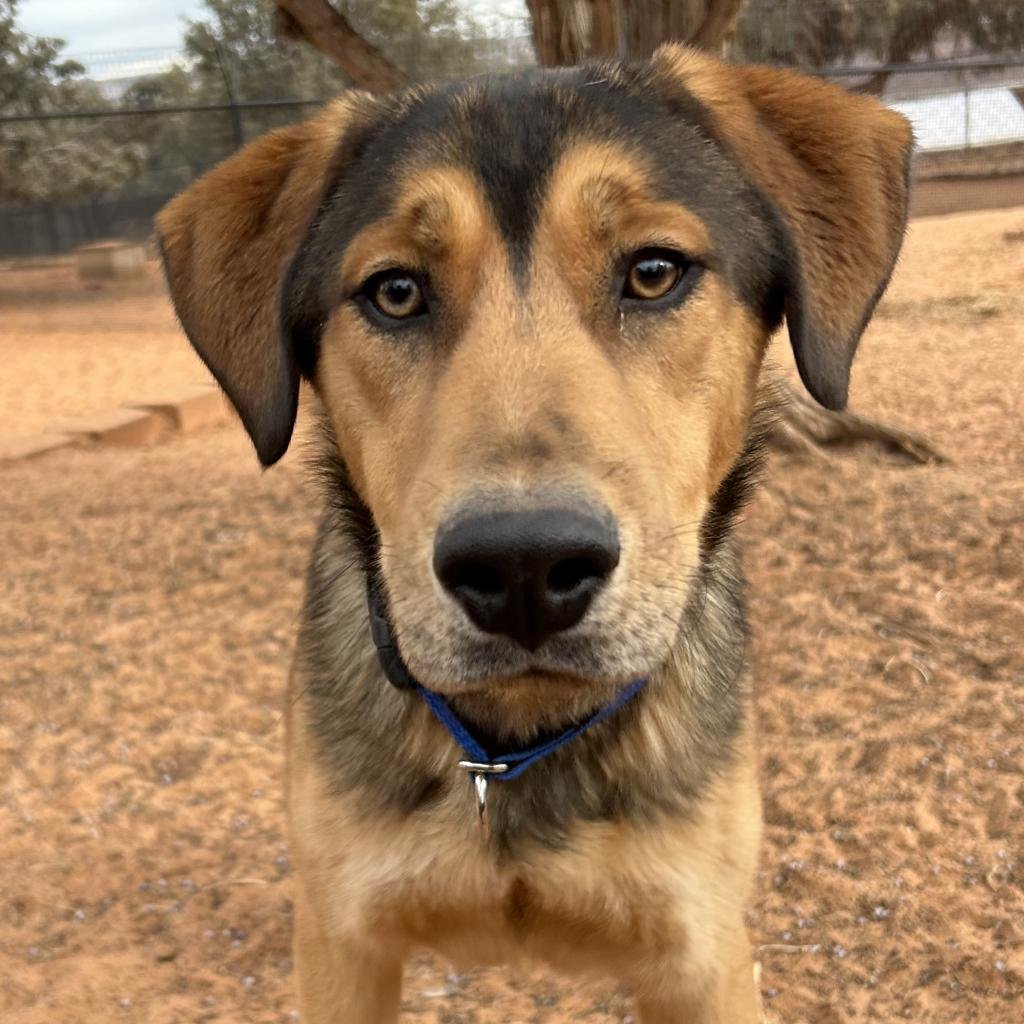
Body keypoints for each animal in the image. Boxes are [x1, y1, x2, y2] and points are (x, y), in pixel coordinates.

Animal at [159, 46, 913, 1024]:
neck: (511, 749)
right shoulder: (341, 944)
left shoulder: (703, 954)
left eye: (654, 271)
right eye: (395, 291)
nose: (523, 566)